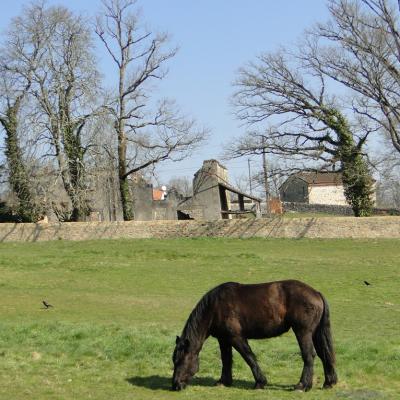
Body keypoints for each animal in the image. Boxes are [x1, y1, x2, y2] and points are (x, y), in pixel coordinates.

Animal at [172, 280, 338, 392]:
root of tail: (316, 293)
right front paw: (224, 381)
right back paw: (328, 382)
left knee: (309, 355)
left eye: (181, 360)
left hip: (303, 332)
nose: (175, 385)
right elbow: (226, 360)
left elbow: (249, 357)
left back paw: (302, 385)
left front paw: (260, 382)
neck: (215, 307)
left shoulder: (236, 338)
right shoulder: (224, 339)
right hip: (314, 333)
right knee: (324, 355)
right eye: (174, 360)